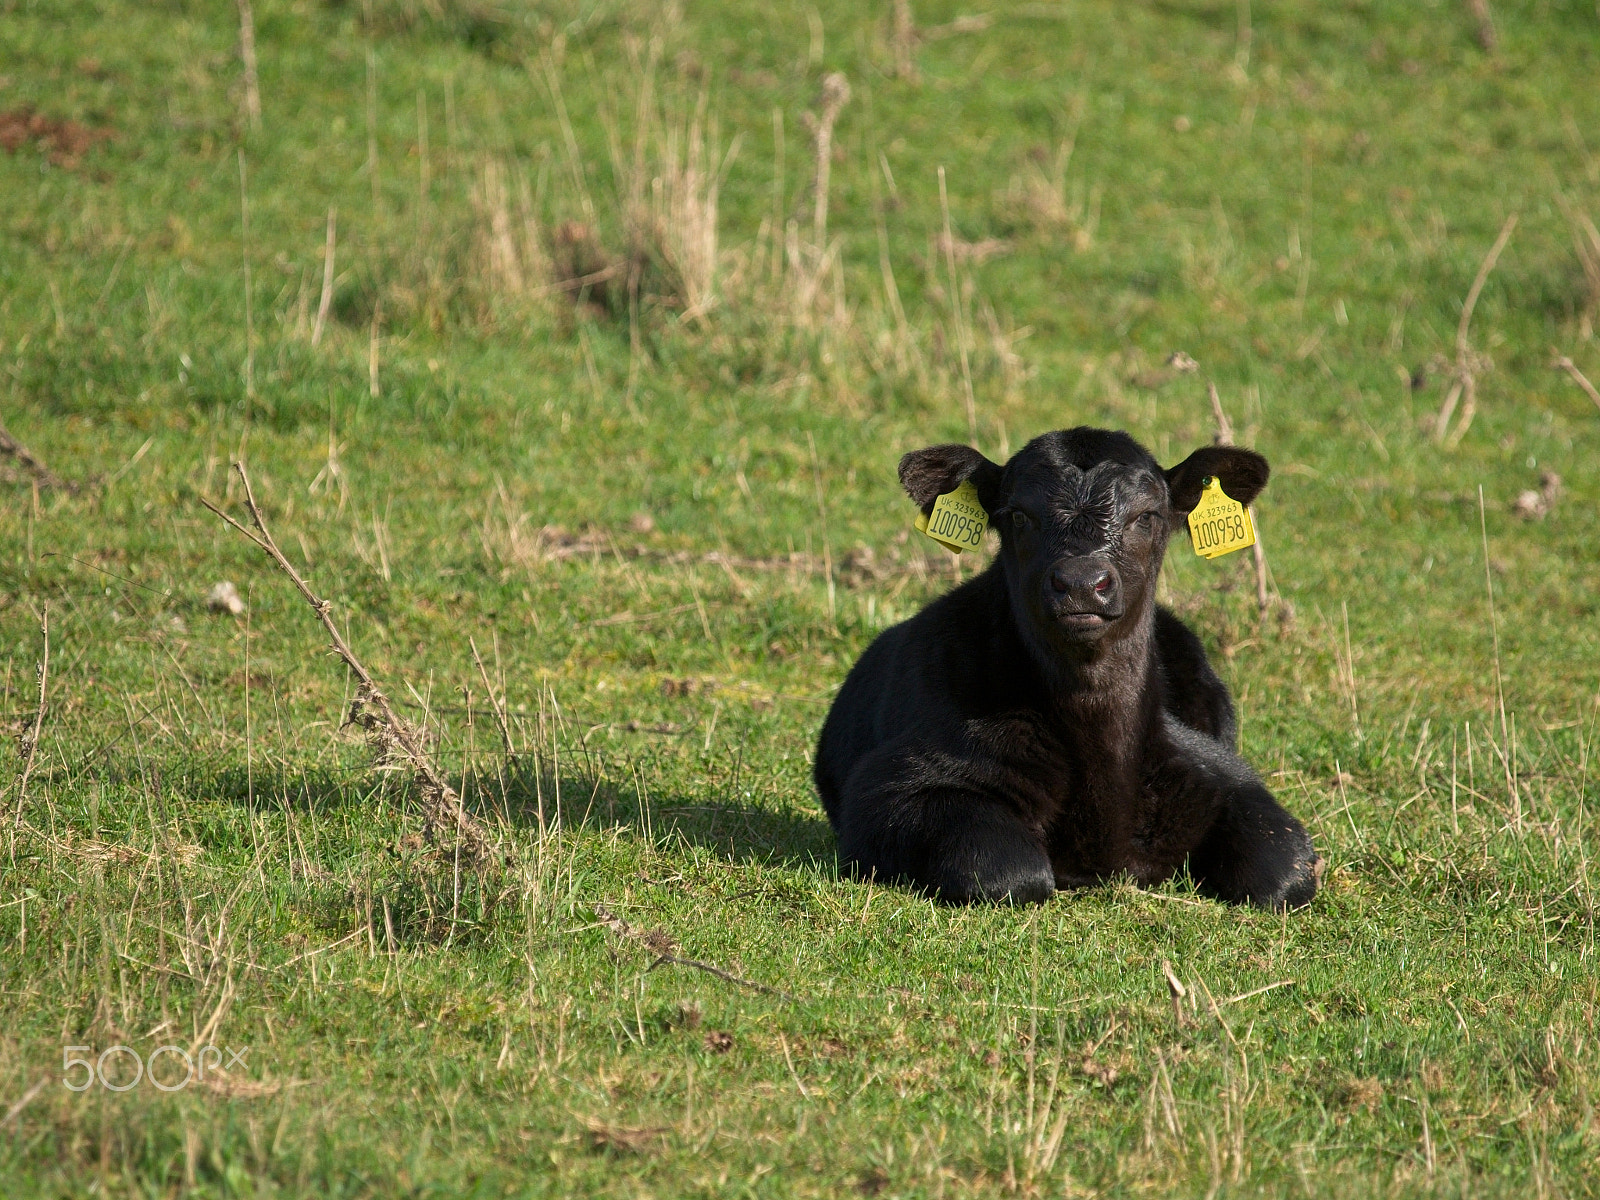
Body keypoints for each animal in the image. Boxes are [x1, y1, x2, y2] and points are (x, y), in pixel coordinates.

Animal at [813, 427, 1321, 910]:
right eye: (1019, 515)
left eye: (1146, 516)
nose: (1080, 583)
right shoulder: (892, 787)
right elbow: (1012, 872)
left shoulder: (1230, 781)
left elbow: (1288, 874)